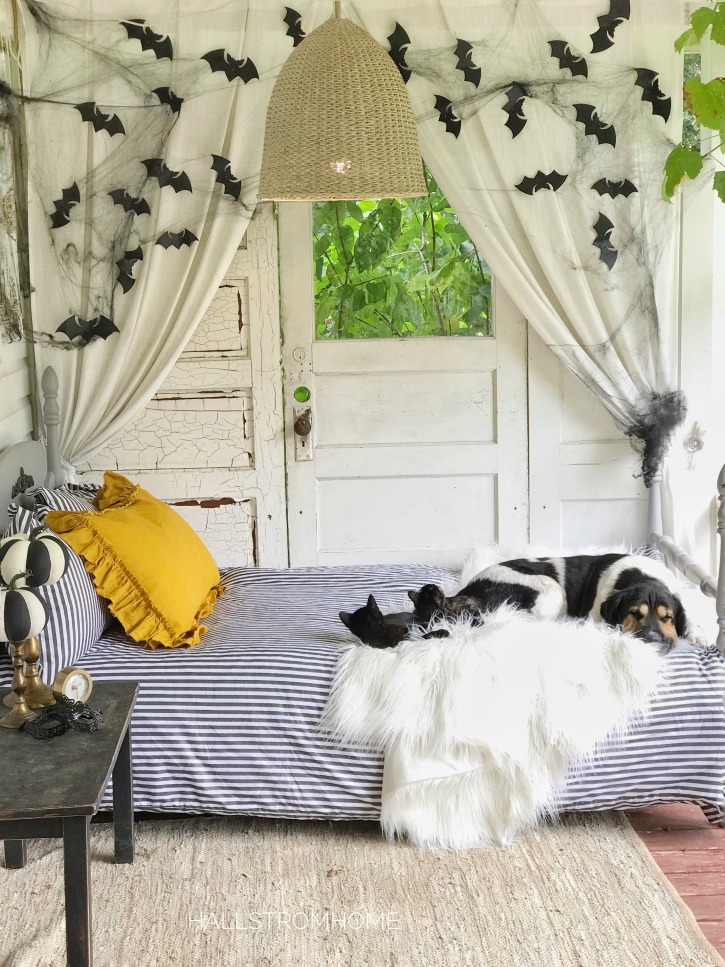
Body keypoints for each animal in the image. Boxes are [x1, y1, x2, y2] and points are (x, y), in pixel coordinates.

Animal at [410, 552, 692, 652]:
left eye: (667, 618)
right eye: (634, 613)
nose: (653, 641)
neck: (641, 576)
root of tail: (470, 588)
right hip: (551, 588)